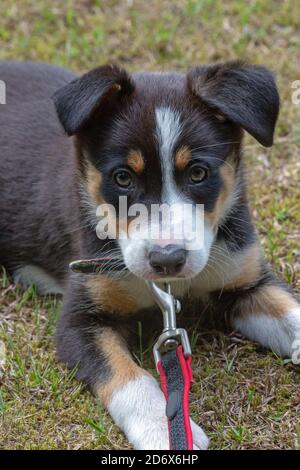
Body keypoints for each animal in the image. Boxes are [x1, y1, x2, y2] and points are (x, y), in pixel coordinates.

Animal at [0, 60, 300, 450]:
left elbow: (289, 312)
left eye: (198, 172)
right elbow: (128, 377)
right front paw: (163, 429)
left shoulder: (245, 280)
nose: (167, 260)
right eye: (123, 178)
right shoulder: (80, 321)